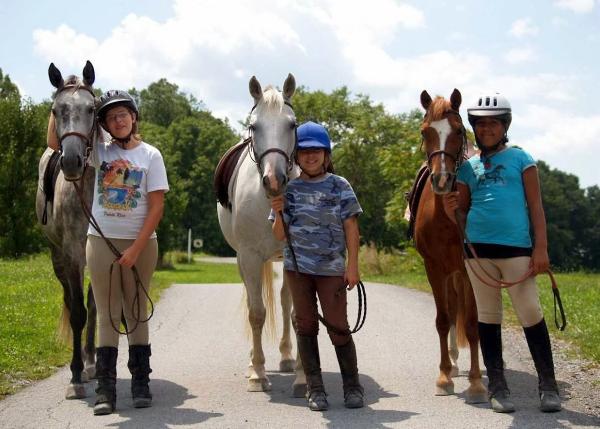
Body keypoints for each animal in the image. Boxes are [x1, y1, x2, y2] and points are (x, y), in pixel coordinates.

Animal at [217, 74, 308, 394]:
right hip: (244, 261)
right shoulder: (249, 257)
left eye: (292, 125)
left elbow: (296, 314)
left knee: (284, 301)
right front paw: (257, 373)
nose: (274, 179)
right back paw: (253, 364)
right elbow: (256, 313)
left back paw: (287, 358)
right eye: (254, 126)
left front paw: (303, 376)